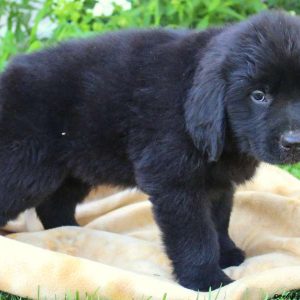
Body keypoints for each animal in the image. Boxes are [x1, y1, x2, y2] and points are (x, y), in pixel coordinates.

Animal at [0, 10, 300, 292]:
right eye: (258, 95)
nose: (294, 141)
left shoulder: (217, 182)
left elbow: (218, 222)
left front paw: (226, 254)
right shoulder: (175, 184)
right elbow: (196, 236)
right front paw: (206, 279)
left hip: (75, 168)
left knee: (54, 207)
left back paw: (72, 231)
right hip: (25, 169)